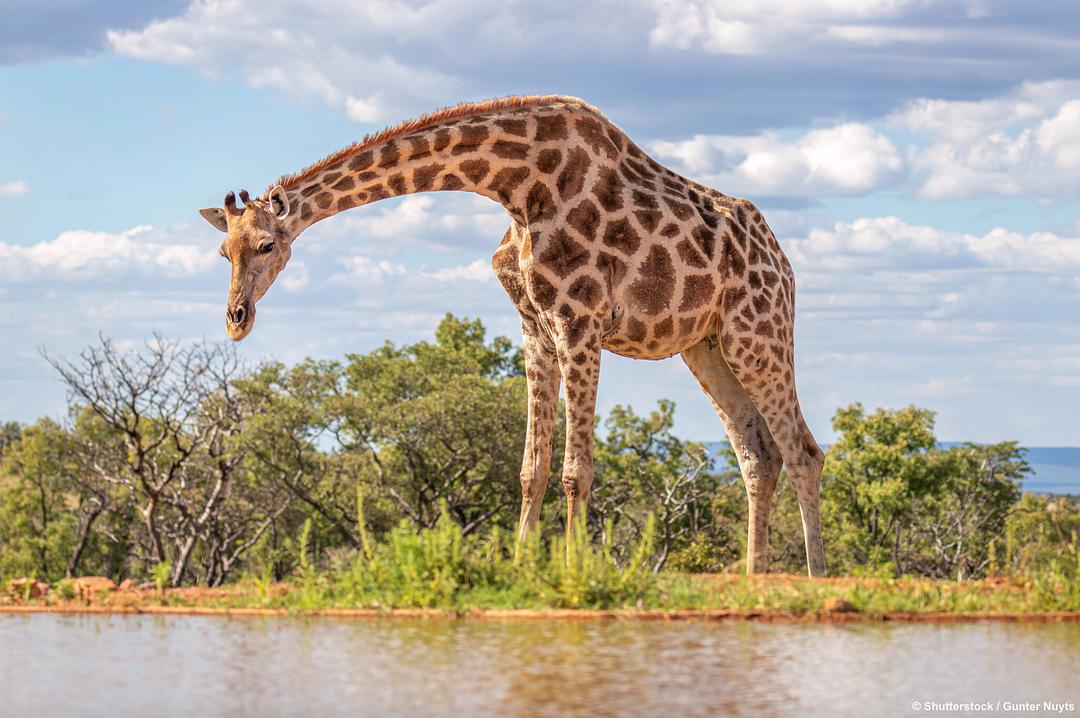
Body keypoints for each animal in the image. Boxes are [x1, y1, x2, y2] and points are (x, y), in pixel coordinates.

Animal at [200, 95, 825, 578]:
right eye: (223, 251)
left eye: (267, 245)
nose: (236, 319)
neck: (518, 184)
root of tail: (785, 263)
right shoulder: (535, 326)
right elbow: (531, 469)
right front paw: (522, 568)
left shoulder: (580, 320)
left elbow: (576, 471)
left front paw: (574, 573)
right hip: (706, 346)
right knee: (758, 454)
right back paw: (753, 578)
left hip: (758, 332)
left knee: (803, 451)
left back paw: (815, 576)